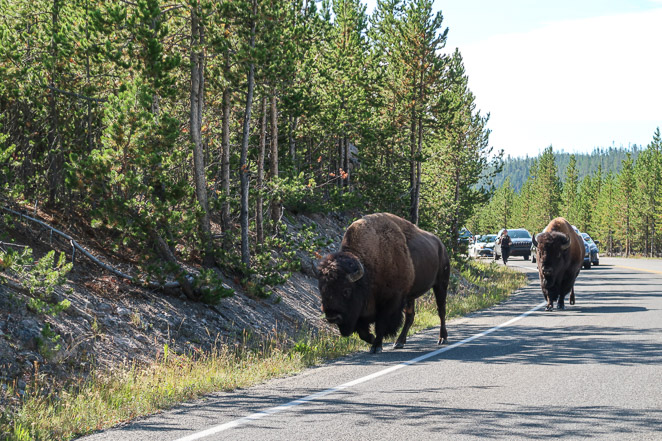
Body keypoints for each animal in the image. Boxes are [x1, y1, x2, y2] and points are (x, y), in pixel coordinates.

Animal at [316, 211, 452, 352]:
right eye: (322, 290)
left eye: (346, 290)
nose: (332, 316)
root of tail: (441, 246)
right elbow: (363, 332)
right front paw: (372, 340)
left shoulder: (391, 301)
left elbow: (380, 325)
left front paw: (376, 346)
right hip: (411, 296)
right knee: (410, 316)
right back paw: (399, 342)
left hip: (441, 284)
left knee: (441, 310)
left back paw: (442, 338)